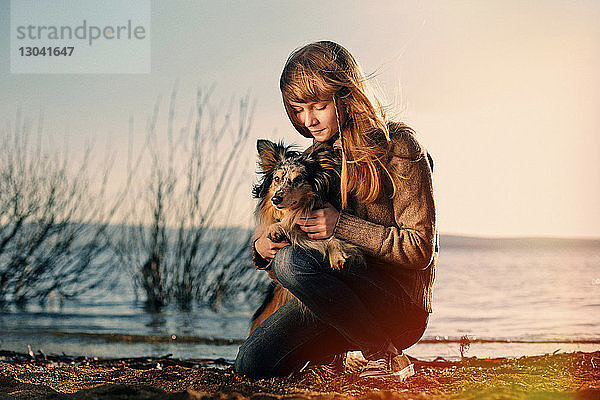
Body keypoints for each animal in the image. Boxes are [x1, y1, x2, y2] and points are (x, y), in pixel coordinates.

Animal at [248, 139, 360, 332]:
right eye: (277, 179)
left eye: (298, 179)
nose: (275, 199)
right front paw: (277, 229)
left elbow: (334, 238)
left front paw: (337, 255)